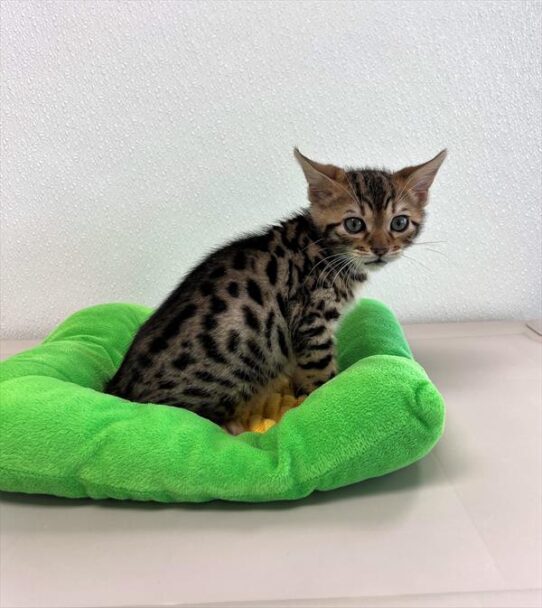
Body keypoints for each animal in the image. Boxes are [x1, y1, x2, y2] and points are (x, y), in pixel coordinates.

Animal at [106, 147, 446, 432]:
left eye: (399, 223)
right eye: (354, 224)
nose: (380, 249)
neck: (326, 251)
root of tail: (116, 391)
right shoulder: (312, 321)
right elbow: (321, 374)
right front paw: (325, 399)